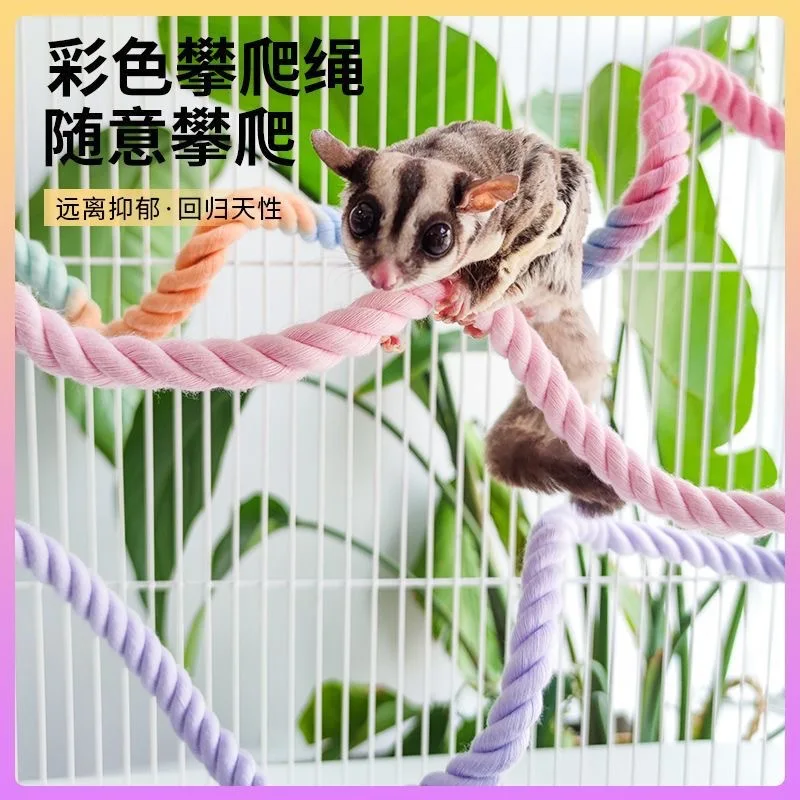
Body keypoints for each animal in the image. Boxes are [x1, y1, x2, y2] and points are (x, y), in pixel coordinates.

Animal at [311, 121, 623, 516]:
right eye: (360, 217)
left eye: (438, 237)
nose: (383, 277)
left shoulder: (534, 197)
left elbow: (542, 222)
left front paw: (471, 292)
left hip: (561, 257)